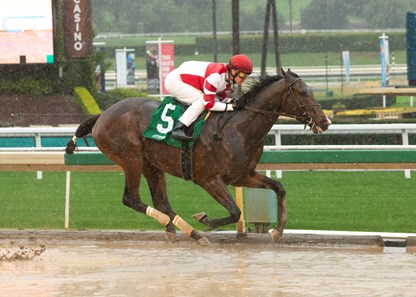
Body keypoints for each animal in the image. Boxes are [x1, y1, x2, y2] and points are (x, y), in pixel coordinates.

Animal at [65, 69, 332, 243]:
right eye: (302, 92)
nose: (324, 121)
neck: (238, 128)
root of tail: (102, 115)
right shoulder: (208, 179)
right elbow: (235, 211)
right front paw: (204, 219)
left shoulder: (243, 175)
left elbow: (279, 188)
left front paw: (277, 230)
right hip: (131, 159)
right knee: (131, 198)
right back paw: (177, 226)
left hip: (152, 164)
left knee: (161, 201)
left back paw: (185, 231)